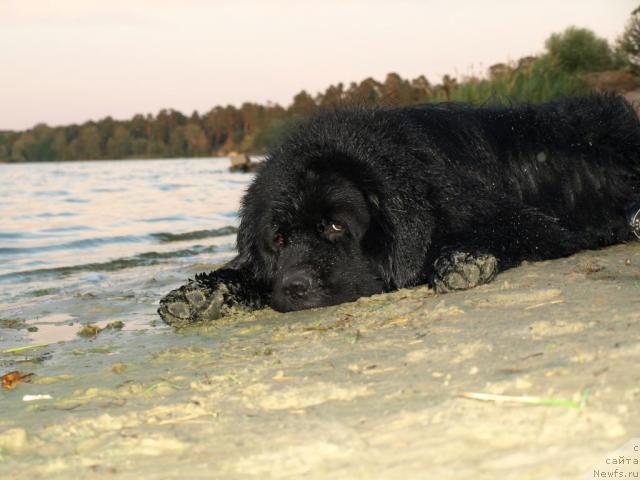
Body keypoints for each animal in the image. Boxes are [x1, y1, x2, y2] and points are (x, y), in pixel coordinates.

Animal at [156, 94, 640, 326]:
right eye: (278, 238)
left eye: (336, 226)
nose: (294, 286)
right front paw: (202, 294)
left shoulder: (532, 223)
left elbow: (497, 233)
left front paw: (462, 260)